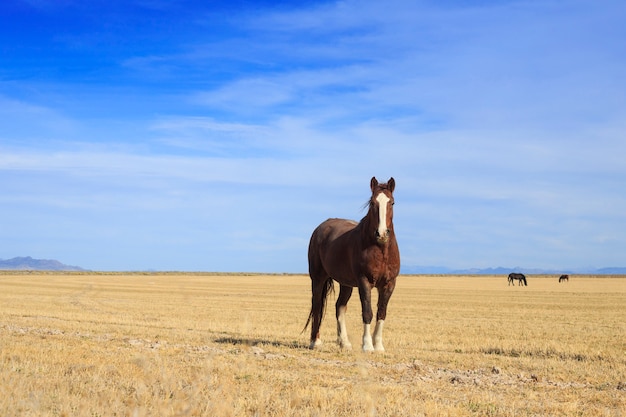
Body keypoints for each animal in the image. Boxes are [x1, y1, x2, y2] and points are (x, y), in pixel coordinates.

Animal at [304, 176, 400, 352]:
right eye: (372, 203)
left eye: (392, 202)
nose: (382, 233)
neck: (380, 249)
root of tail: (320, 228)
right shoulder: (364, 282)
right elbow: (367, 312)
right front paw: (367, 346)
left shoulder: (389, 284)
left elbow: (381, 313)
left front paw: (378, 346)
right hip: (318, 278)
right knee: (317, 305)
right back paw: (315, 341)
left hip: (345, 284)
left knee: (339, 307)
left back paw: (344, 342)